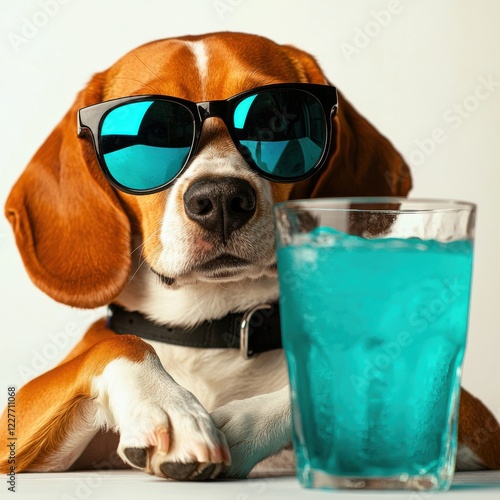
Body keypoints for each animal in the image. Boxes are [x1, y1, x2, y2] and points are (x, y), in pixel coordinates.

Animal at [0, 31, 500, 480]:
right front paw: (170, 408)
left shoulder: (476, 420)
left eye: (276, 119)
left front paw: (241, 422)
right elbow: (120, 342)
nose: (221, 198)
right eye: (152, 133)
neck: (212, 327)